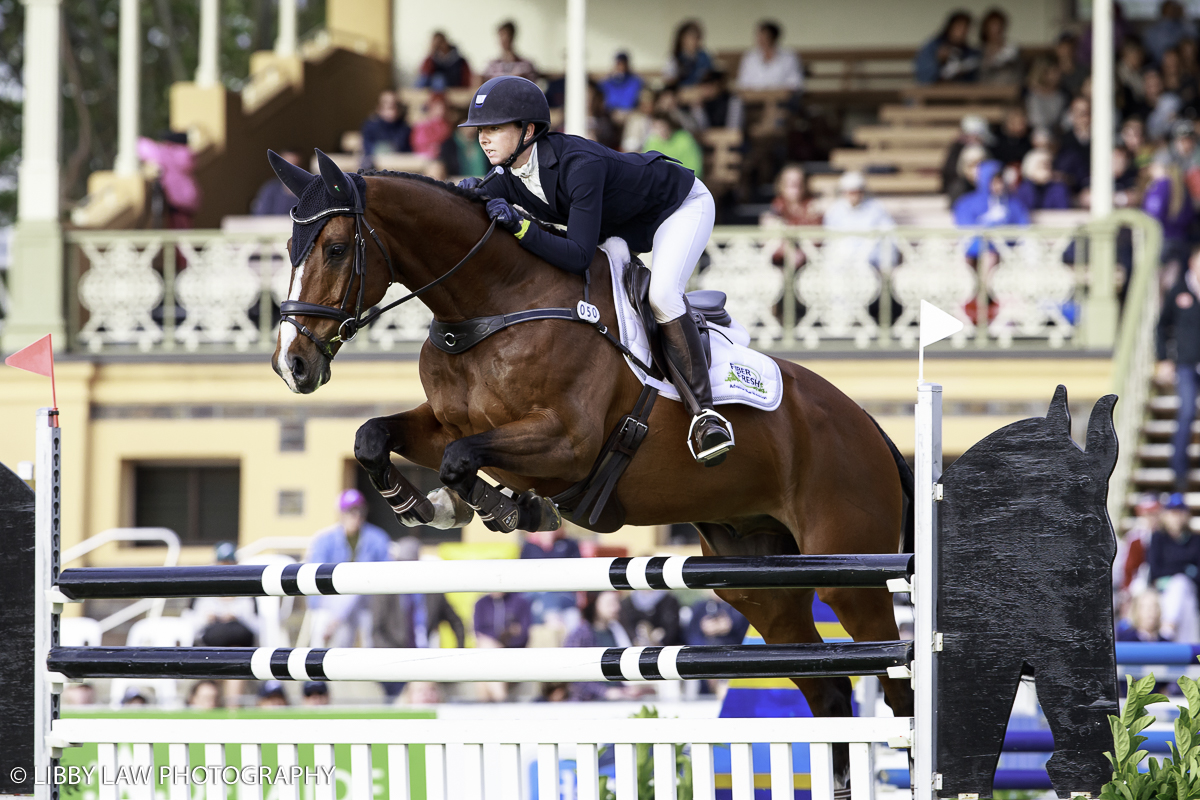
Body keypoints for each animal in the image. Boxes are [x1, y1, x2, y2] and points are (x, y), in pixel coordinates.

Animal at [270, 153, 907, 786]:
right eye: (289, 250)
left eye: (333, 248)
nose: (291, 365)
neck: (490, 308)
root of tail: (869, 426)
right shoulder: (443, 424)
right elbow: (374, 436)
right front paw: (426, 505)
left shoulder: (566, 445)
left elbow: (461, 459)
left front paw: (504, 508)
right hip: (758, 583)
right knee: (828, 689)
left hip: (851, 573)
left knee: (893, 681)